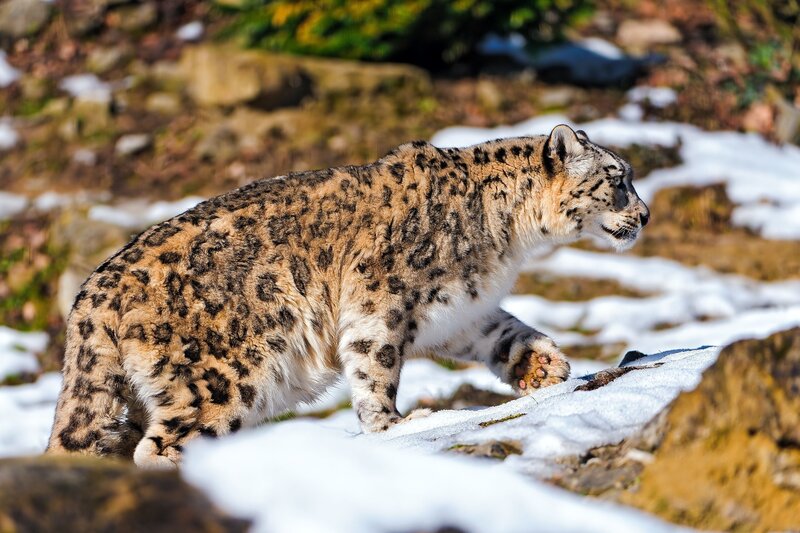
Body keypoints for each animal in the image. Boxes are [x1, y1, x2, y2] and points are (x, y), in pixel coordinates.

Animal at [46, 124, 649, 468]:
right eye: (617, 178)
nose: (645, 214)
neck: (507, 242)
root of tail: (92, 294)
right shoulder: (381, 300)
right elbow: (374, 363)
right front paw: (395, 424)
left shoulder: (459, 311)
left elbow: (502, 331)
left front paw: (543, 366)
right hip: (226, 378)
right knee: (161, 445)